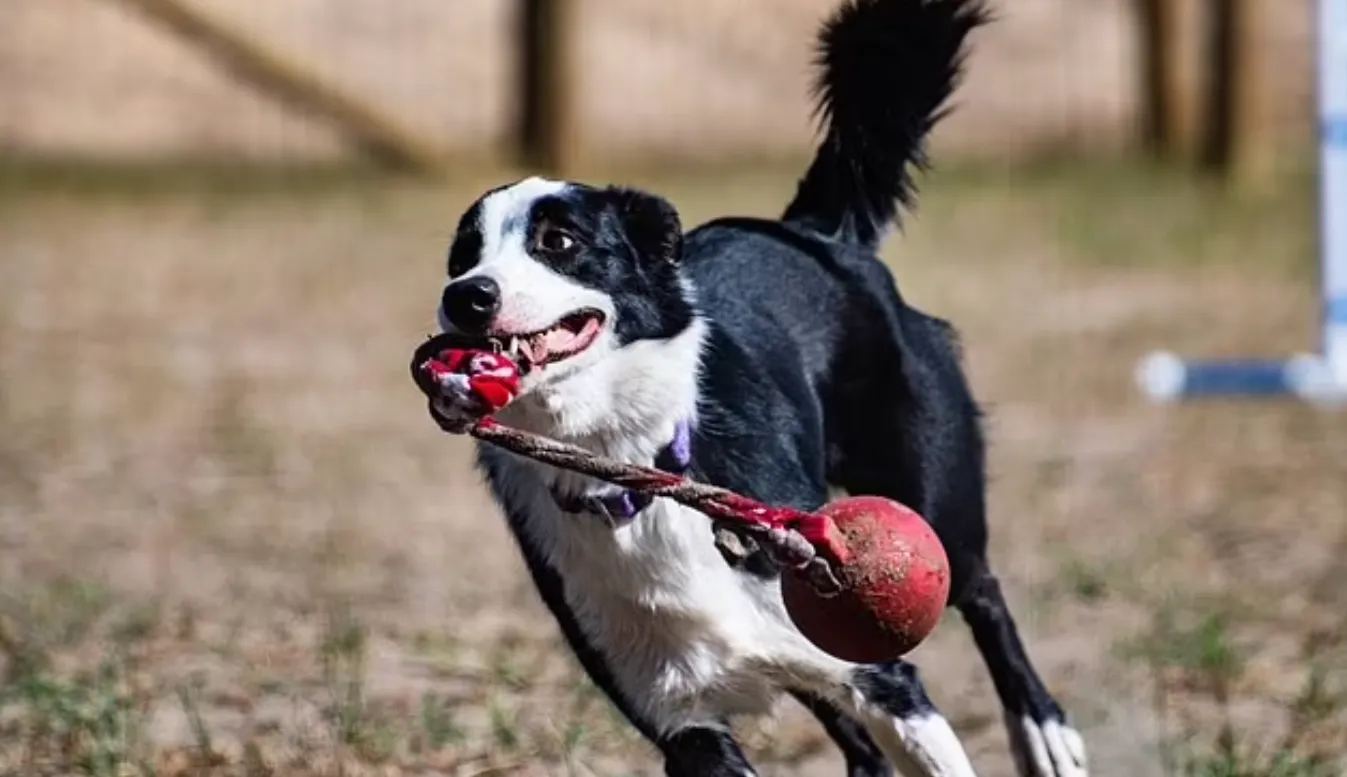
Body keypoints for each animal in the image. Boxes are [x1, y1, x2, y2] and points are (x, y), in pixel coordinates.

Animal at [425, 1, 1088, 775]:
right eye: (462, 256)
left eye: (558, 241)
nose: (465, 296)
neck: (631, 472)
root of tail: (812, 234)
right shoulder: (682, 722)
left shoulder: (885, 676)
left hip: (930, 486)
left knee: (983, 591)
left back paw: (1043, 731)